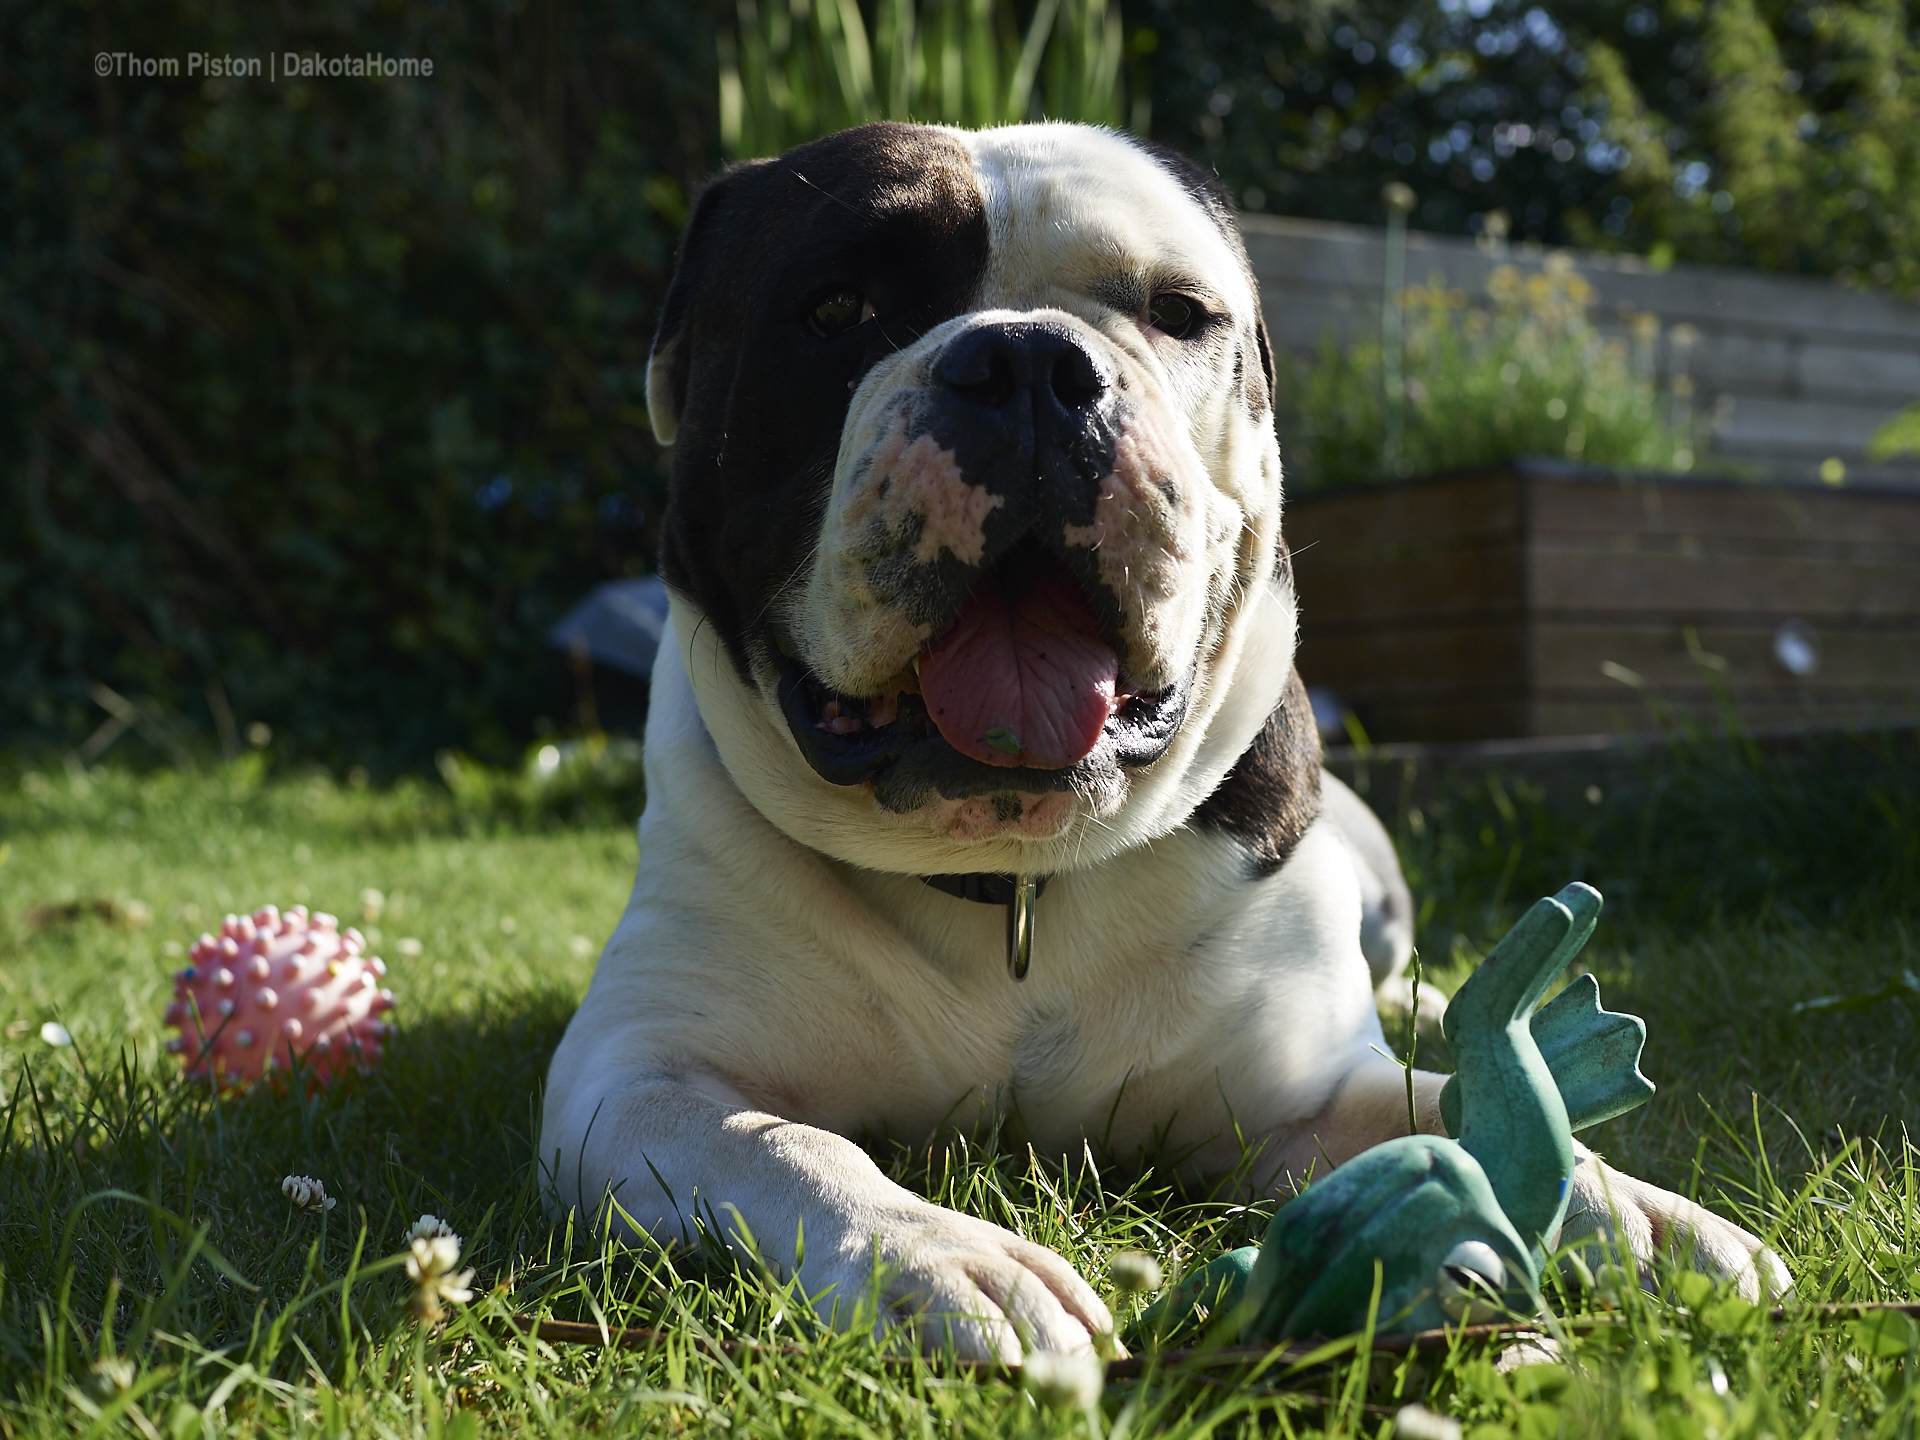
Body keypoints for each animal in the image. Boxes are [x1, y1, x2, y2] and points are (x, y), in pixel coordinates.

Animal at [541, 123, 1781, 1367]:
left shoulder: (1306, 1091)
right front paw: (946, 1262)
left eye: (1178, 312)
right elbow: (788, 1145)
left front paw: (1645, 1216)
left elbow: (1450, 1111)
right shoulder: (635, 1072)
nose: (1028, 364)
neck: (1012, 878)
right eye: (836, 308)